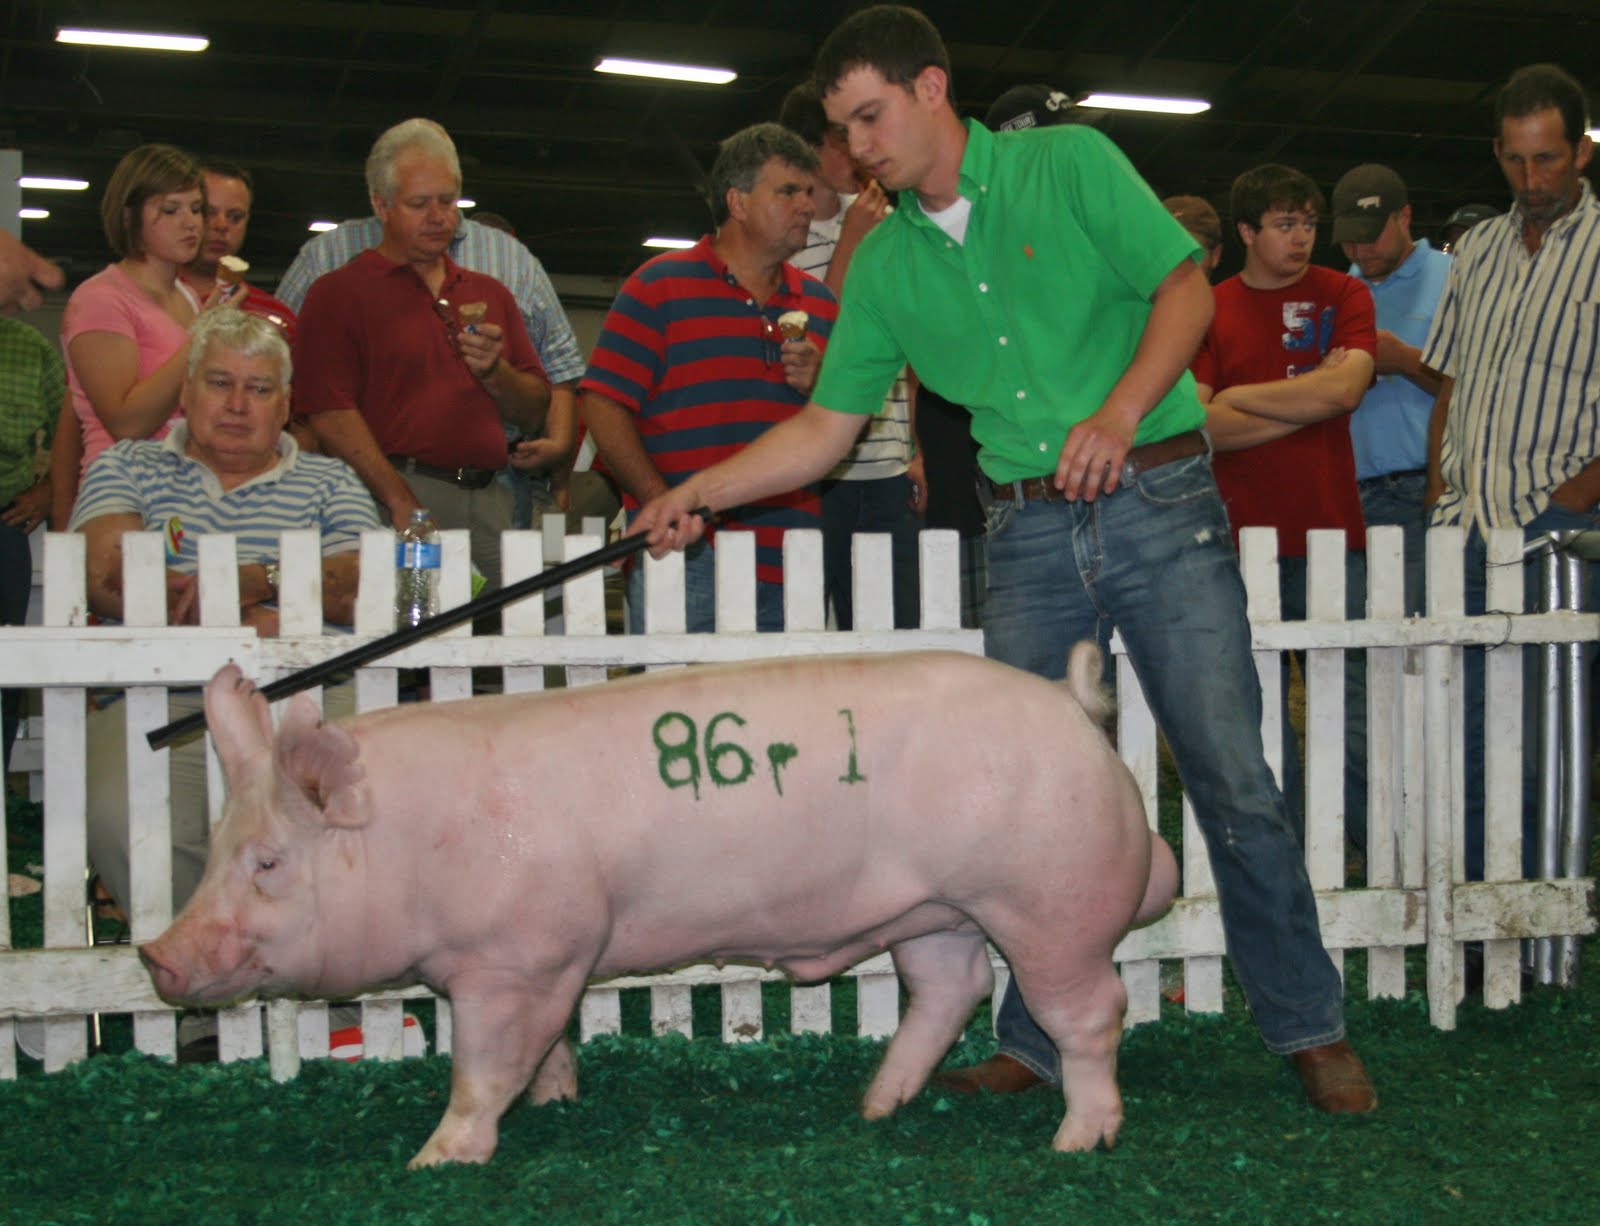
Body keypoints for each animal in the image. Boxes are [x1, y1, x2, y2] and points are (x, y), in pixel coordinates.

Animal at [141, 645, 1177, 1168]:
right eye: (221, 848)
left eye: (269, 862)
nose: (156, 957)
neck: (416, 845)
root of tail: (1074, 707)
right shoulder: (552, 961)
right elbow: (546, 1046)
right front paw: (557, 1100)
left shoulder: (513, 958)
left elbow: (483, 1065)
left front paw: (435, 1161)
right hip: (932, 909)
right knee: (949, 987)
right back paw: (873, 1108)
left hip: (1048, 898)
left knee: (1092, 1010)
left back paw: (1077, 1141)